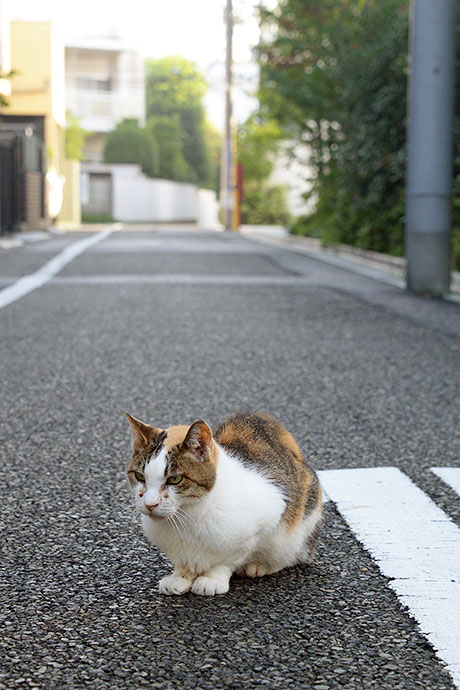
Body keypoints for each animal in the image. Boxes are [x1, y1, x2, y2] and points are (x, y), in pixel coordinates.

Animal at [125, 412, 320, 592]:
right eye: (140, 476)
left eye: (174, 479)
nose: (150, 504)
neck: (187, 515)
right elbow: (183, 563)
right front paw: (180, 576)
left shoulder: (269, 514)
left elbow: (227, 560)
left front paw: (212, 579)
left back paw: (260, 566)